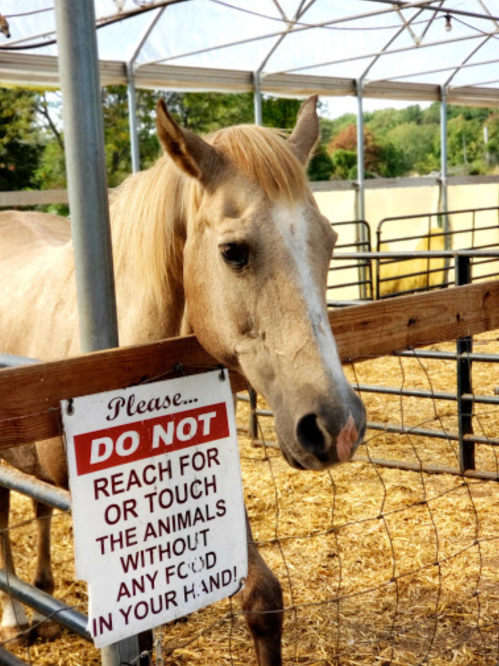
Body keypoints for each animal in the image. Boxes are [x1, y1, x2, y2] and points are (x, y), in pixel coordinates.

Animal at [0, 96, 366, 665]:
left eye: (329, 242)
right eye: (233, 251)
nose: (337, 425)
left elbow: (262, 597)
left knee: (37, 506)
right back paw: (17, 620)